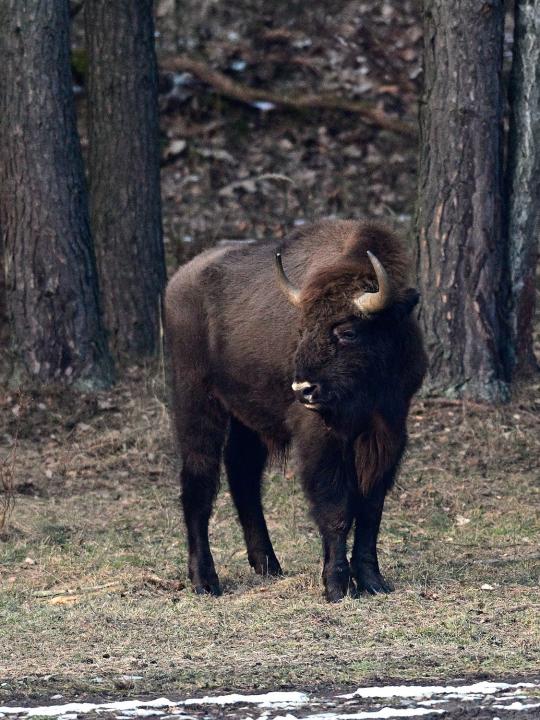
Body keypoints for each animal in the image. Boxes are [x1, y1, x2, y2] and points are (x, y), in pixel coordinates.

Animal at [165, 219, 427, 602]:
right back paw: (205, 581)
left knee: (243, 476)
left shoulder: (388, 430)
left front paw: (373, 582)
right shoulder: (321, 437)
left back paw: (268, 565)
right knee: (198, 480)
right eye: (301, 328)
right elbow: (336, 507)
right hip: (196, 402)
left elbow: (370, 510)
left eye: (347, 331)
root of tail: (178, 282)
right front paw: (336, 586)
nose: (303, 388)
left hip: (246, 419)